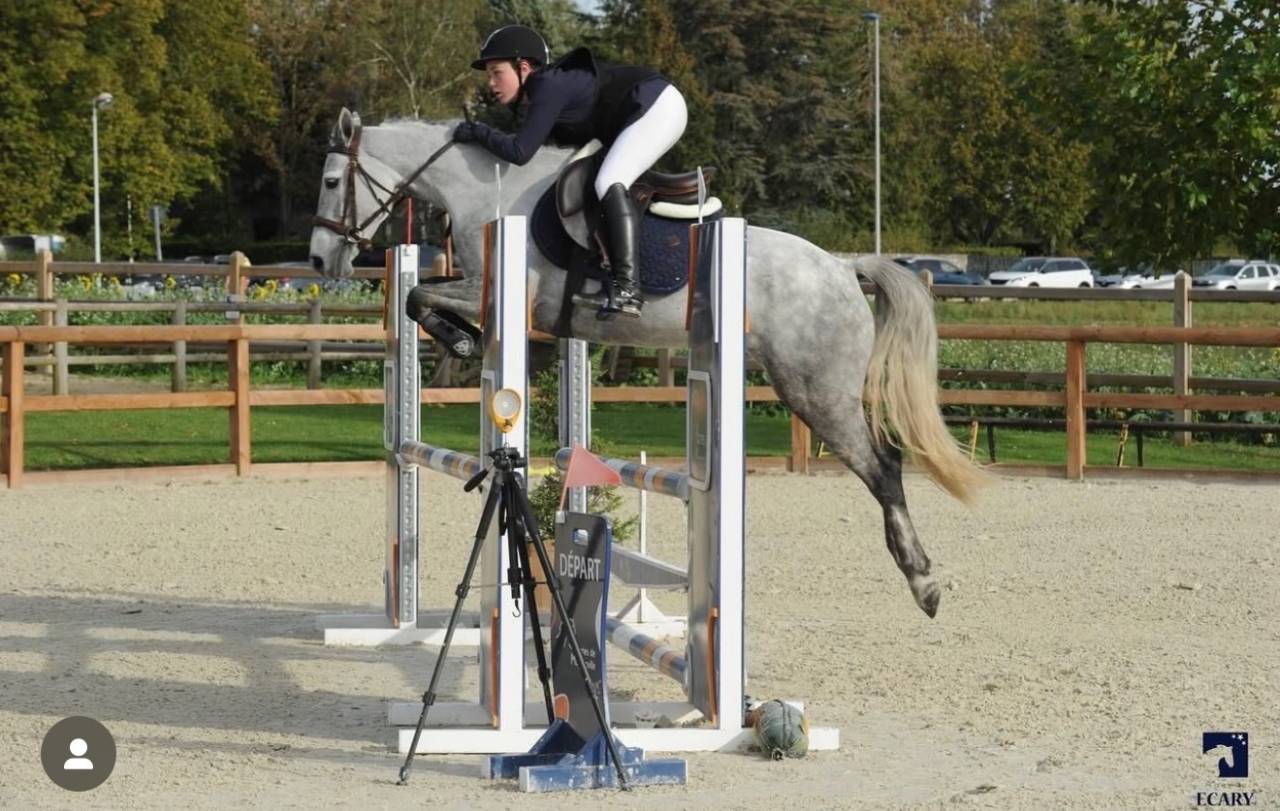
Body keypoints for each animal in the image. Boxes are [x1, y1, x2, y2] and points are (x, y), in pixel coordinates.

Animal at [308, 108, 989, 617]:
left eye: (333, 182)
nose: (319, 261)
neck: (489, 189)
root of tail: (843, 268)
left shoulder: (501, 290)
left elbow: (422, 297)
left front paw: (461, 341)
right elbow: (423, 299)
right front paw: (468, 343)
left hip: (815, 389)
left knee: (885, 467)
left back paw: (923, 581)